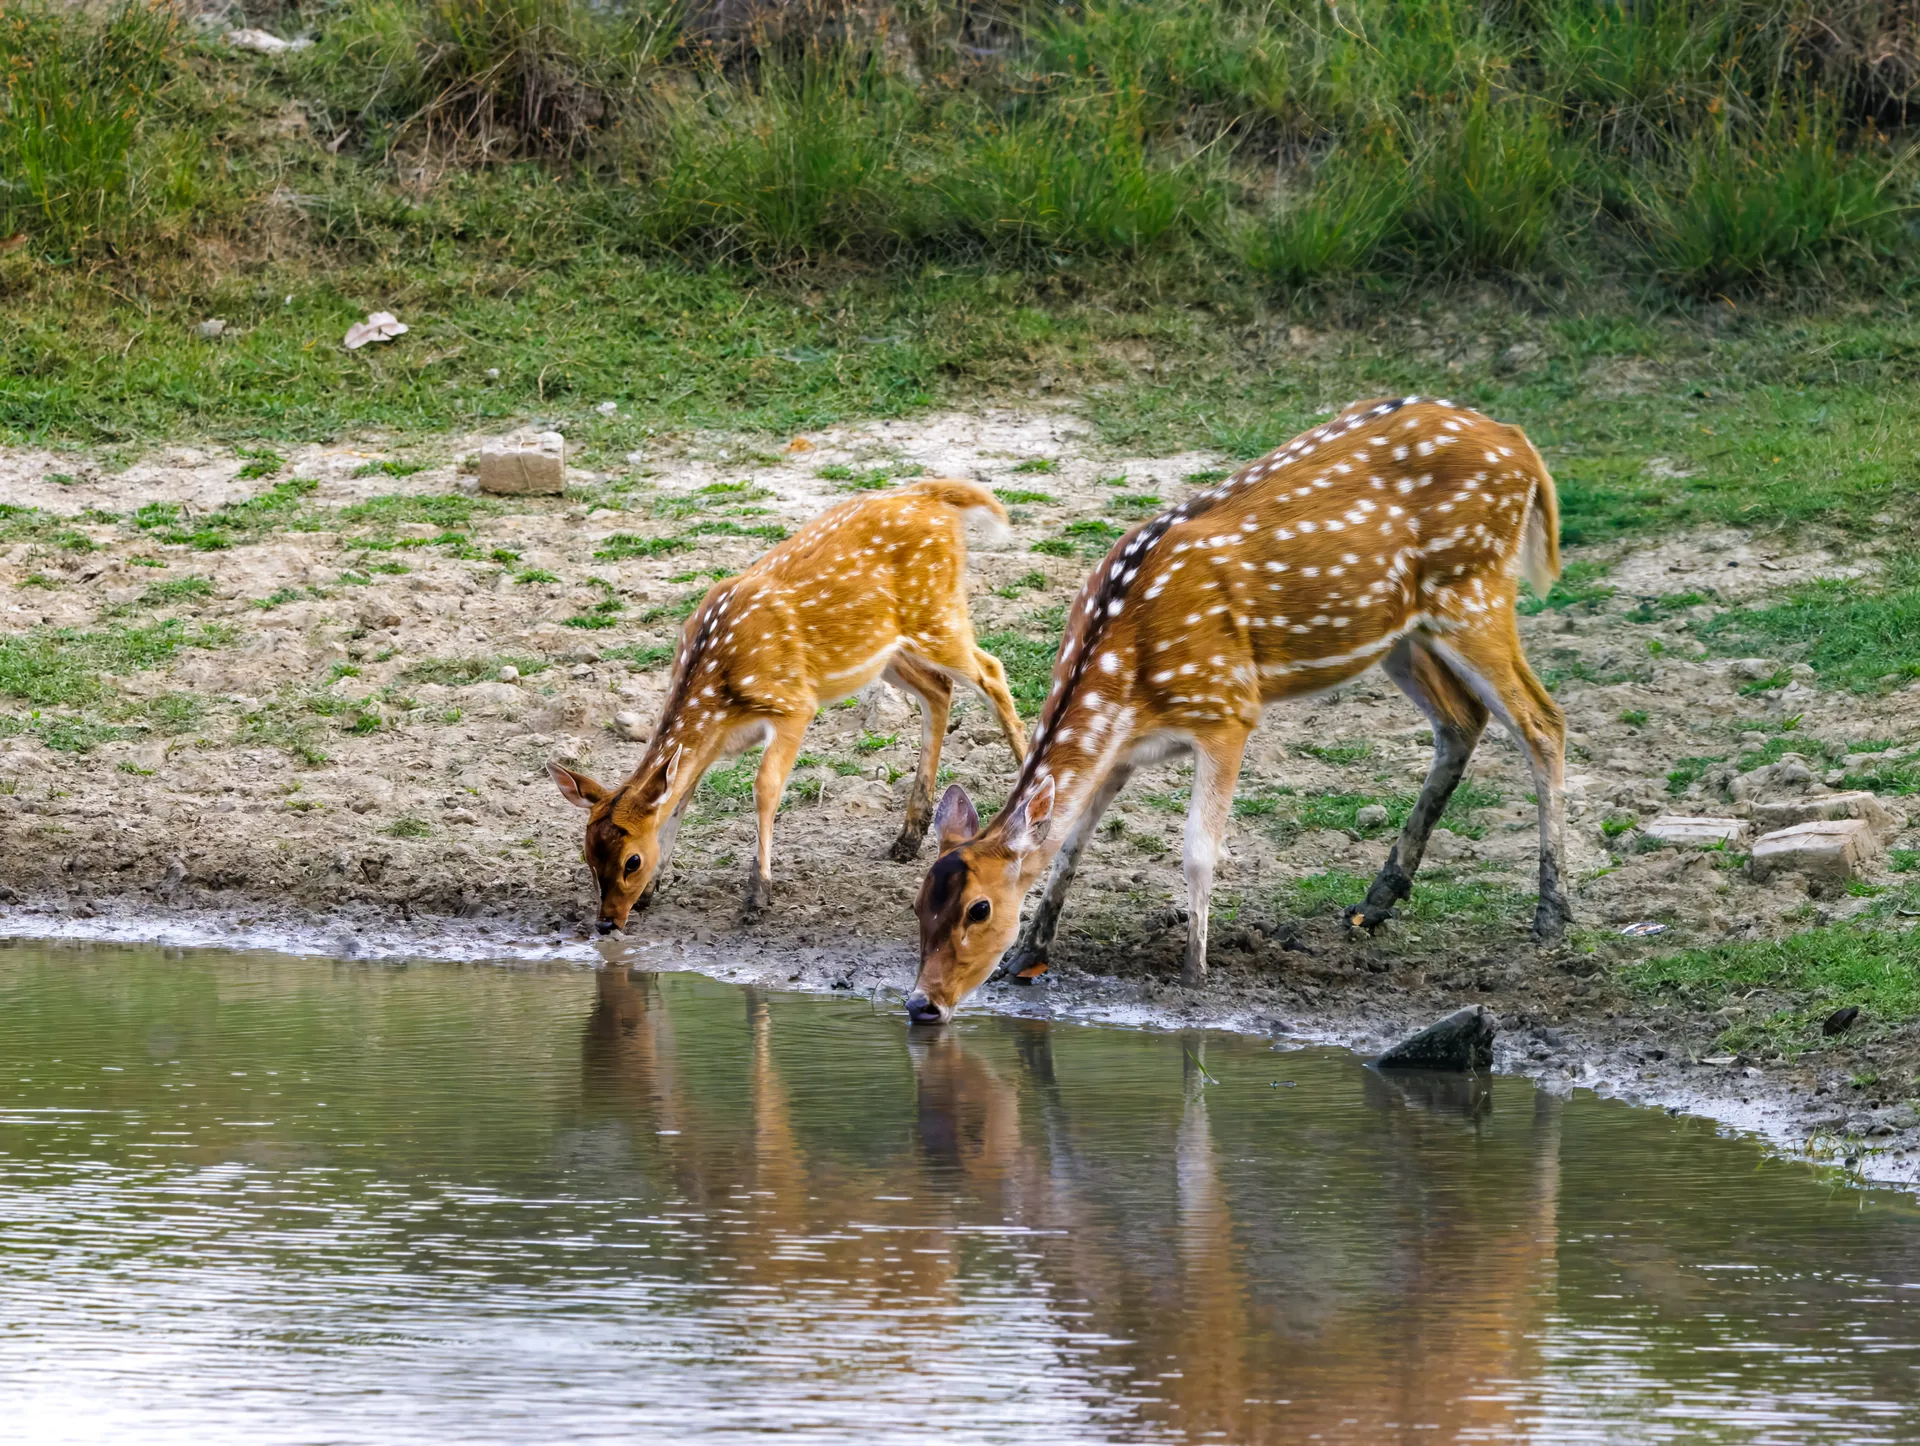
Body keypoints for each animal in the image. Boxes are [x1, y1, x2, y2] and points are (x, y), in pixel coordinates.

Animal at [551, 478, 1028, 934]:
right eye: (587, 856)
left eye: (631, 860)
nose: (606, 921)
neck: (719, 690)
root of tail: (935, 494)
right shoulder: (714, 741)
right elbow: (681, 797)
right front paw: (654, 890)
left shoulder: (794, 703)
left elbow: (764, 788)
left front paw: (756, 898)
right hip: (887, 652)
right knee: (938, 689)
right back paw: (907, 839)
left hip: (937, 612)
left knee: (991, 670)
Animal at [906, 397, 1570, 1025]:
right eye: (917, 903)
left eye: (979, 908)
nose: (921, 1004)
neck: (1129, 676)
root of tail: (1520, 443)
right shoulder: (1121, 752)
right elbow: (1070, 843)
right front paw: (1029, 954)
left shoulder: (1227, 710)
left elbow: (1199, 851)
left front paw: (1195, 972)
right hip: (1405, 635)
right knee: (1463, 721)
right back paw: (1374, 903)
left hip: (1475, 590)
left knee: (1543, 721)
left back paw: (1552, 916)